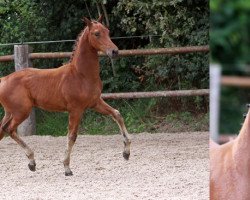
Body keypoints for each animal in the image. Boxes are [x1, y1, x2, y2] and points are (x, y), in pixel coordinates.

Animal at [0, 16, 131, 176]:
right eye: (96, 33)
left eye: (108, 31)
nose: (114, 51)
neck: (81, 75)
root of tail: (3, 79)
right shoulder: (76, 110)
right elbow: (72, 136)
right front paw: (67, 167)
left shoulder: (95, 103)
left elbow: (117, 114)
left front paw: (126, 153)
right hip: (21, 112)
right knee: (9, 130)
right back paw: (32, 161)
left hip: (10, 113)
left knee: (2, 130)